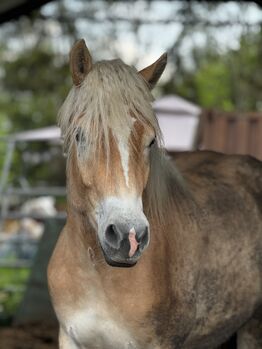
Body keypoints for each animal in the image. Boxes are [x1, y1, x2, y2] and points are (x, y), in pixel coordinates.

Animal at [47, 39, 262, 346]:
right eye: (80, 136)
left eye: (150, 142)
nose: (128, 237)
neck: (97, 274)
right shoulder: (70, 339)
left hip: (252, 326)